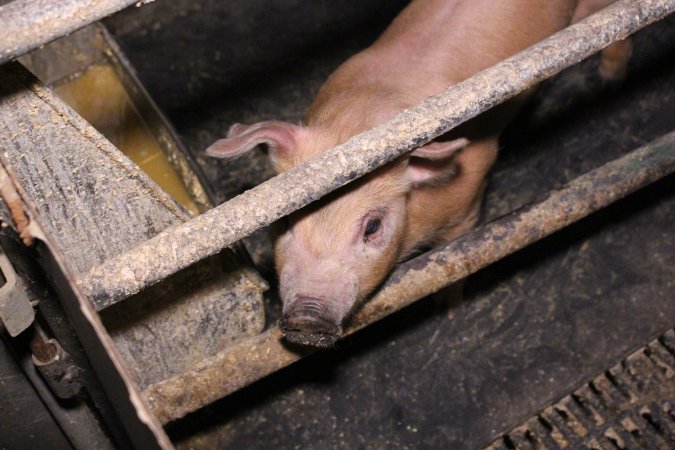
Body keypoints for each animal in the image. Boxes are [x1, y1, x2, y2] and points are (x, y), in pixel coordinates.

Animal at [206, 0, 628, 348]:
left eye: (373, 227)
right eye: (286, 222)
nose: (306, 321)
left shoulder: (468, 202)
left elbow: (456, 258)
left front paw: (449, 309)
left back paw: (610, 78)